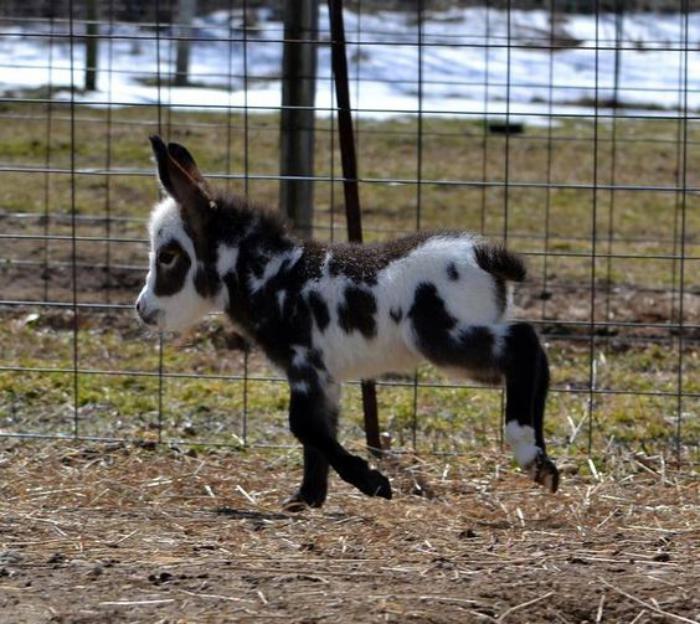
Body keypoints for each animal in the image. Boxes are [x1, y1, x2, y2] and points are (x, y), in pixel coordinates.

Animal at [137, 136, 560, 508]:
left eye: (169, 255)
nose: (142, 310)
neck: (274, 276)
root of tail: (482, 254)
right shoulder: (322, 378)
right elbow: (317, 432)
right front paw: (305, 499)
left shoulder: (305, 365)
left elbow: (303, 427)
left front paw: (372, 483)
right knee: (533, 355)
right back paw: (541, 464)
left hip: (444, 339)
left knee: (522, 345)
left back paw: (526, 449)